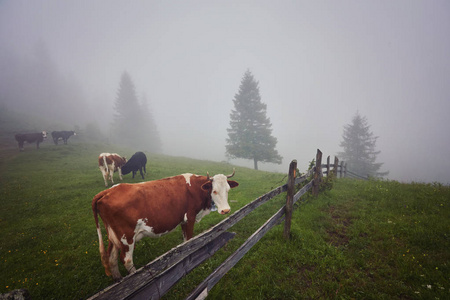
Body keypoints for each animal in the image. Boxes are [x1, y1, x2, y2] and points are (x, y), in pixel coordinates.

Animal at [92, 171, 239, 282]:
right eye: (214, 191)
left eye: (228, 190)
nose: (226, 210)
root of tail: (107, 191)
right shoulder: (189, 218)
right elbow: (189, 241)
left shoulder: (183, 221)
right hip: (126, 237)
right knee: (127, 260)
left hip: (113, 236)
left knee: (112, 258)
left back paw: (118, 279)